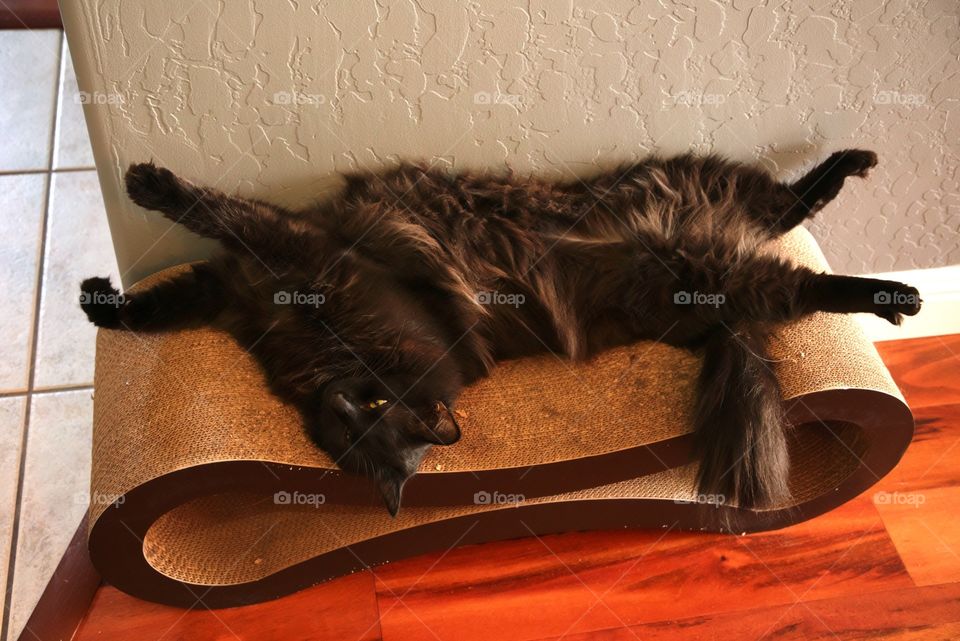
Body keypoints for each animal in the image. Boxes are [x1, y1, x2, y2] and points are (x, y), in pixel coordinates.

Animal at [79, 151, 920, 516]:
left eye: (375, 410)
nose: (349, 405)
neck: (318, 354)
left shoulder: (305, 256)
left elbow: (215, 210)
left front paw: (149, 184)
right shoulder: (231, 291)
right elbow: (155, 307)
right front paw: (98, 301)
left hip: (707, 235)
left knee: (801, 255)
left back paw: (893, 284)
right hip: (705, 221)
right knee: (789, 211)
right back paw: (860, 185)